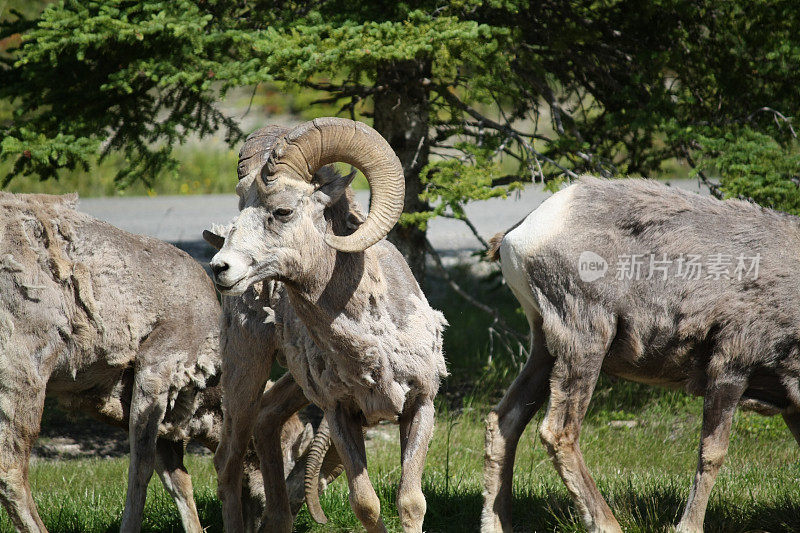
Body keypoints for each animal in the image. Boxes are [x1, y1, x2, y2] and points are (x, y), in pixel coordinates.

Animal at [0, 192, 314, 532]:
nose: (261, 525)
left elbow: (178, 480)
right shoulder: (156, 374)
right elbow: (142, 467)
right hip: (23, 372)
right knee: (11, 467)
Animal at [205, 119, 450, 532]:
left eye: (283, 210)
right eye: (241, 206)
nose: (221, 268)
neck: (374, 342)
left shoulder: (420, 405)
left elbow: (411, 502)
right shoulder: (339, 414)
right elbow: (366, 504)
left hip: (294, 381)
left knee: (268, 418)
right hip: (245, 372)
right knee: (228, 462)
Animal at [484, 176, 800, 532]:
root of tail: (520, 234)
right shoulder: (730, 367)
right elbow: (712, 454)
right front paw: (688, 527)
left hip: (545, 349)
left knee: (505, 421)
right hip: (586, 342)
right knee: (558, 432)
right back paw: (608, 524)